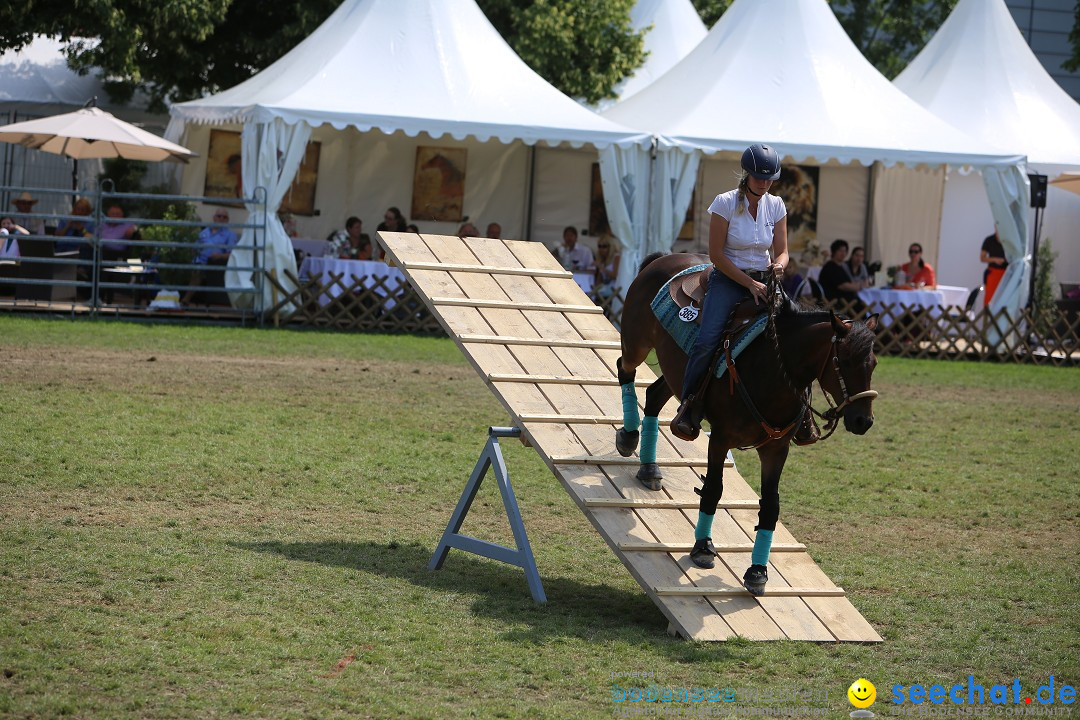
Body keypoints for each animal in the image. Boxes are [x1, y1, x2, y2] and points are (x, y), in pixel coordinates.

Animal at [613, 250, 881, 595]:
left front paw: (757, 571)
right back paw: (628, 437)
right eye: (843, 361)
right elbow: (713, 489)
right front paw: (703, 548)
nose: (863, 420)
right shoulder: (720, 438)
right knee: (625, 368)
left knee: (655, 396)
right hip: (636, 342)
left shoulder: (776, 449)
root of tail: (663, 258)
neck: (771, 371)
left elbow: (770, 506)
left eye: (873, 363)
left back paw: (649, 468)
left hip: (676, 376)